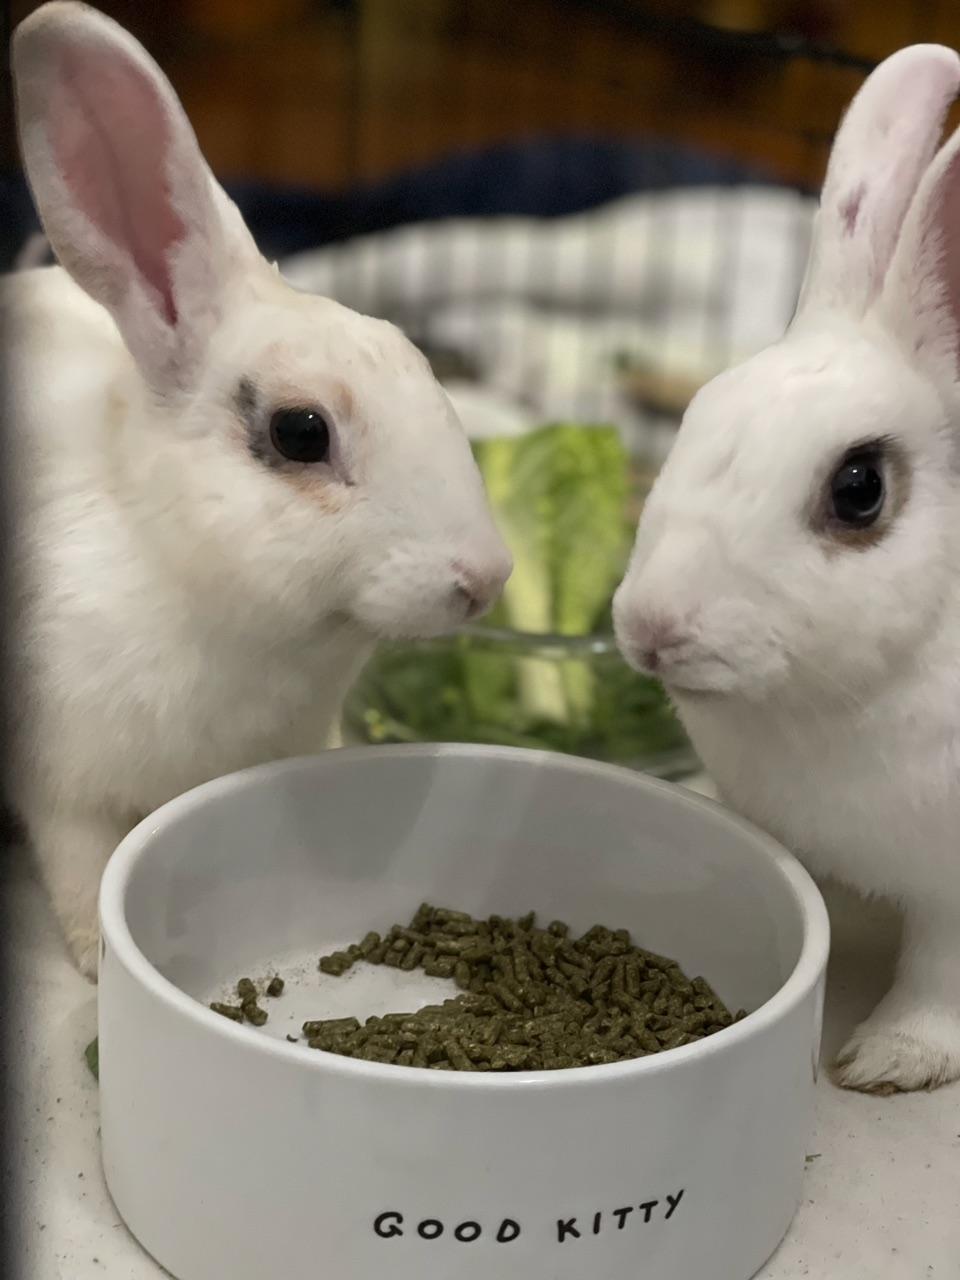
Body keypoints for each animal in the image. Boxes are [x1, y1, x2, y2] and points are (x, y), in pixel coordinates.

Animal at [4, 1, 511, 980]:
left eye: (417, 358)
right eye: (300, 432)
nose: (486, 577)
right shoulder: (64, 788)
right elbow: (80, 873)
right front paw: (98, 965)